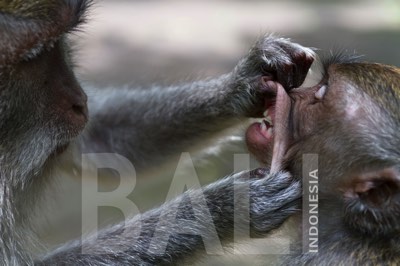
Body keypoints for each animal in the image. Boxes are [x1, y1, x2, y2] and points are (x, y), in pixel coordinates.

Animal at [0, 1, 316, 264]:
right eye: (34, 56)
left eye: (58, 45)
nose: (80, 100)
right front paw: (228, 206)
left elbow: (103, 138)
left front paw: (244, 82)